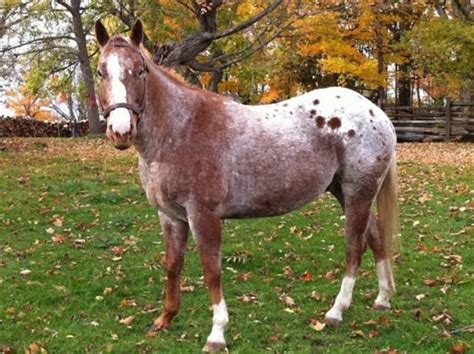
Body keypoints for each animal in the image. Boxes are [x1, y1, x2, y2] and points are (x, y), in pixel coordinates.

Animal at [96, 20, 400, 352]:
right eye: (101, 72)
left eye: (140, 71)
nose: (120, 130)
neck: (181, 130)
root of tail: (377, 114)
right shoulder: (170, 216)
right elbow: (173, 264)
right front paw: (165, 318)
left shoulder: (203, 216)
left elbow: (211, 271)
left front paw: (217, 334)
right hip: (346, 193)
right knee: (376, 236)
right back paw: (383, 298)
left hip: (358, 193)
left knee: (354, 247)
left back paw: (336, 311)